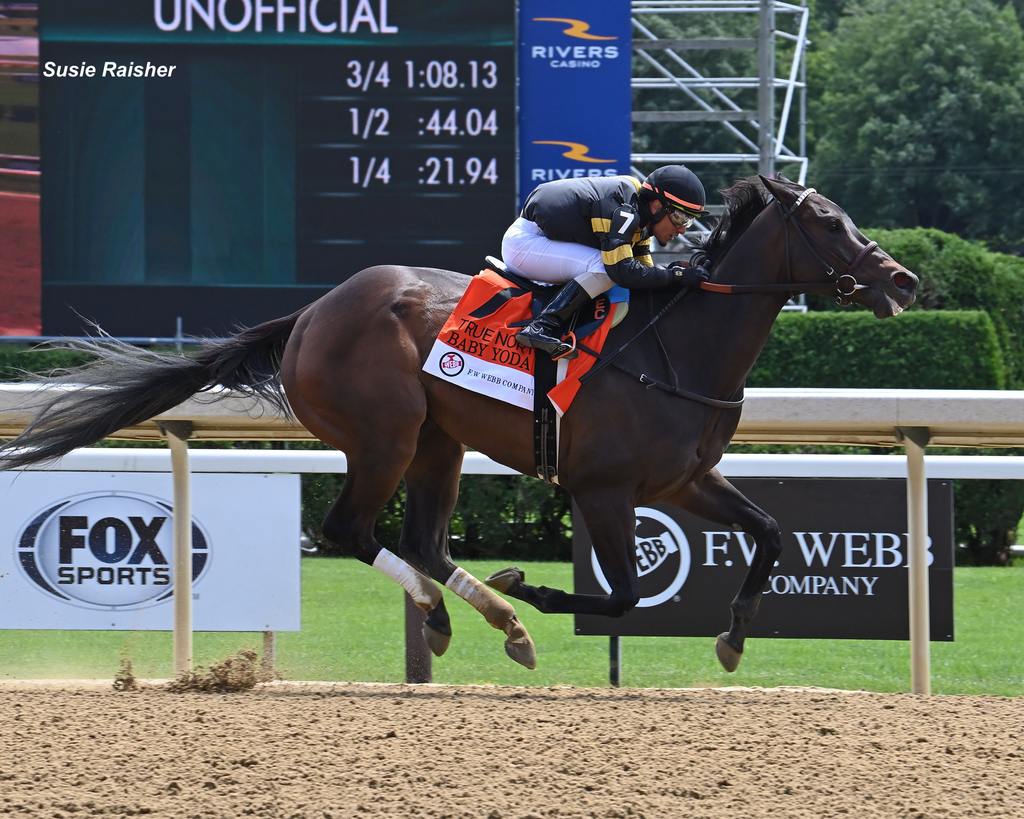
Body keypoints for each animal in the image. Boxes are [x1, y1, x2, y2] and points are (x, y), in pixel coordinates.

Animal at [0, 174, 917, 671]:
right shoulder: (604, 488)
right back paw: (462, 611)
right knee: (349, 529)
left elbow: (771, 532)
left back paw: (487, 619)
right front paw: (533, 587)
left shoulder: (684, 480)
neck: (679, 347)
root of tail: (311, 312)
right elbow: (622, 595)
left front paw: (733, 635)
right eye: (828, 222)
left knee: (424, 542)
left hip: (440, 441)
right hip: (387, 434)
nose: (904, 280)